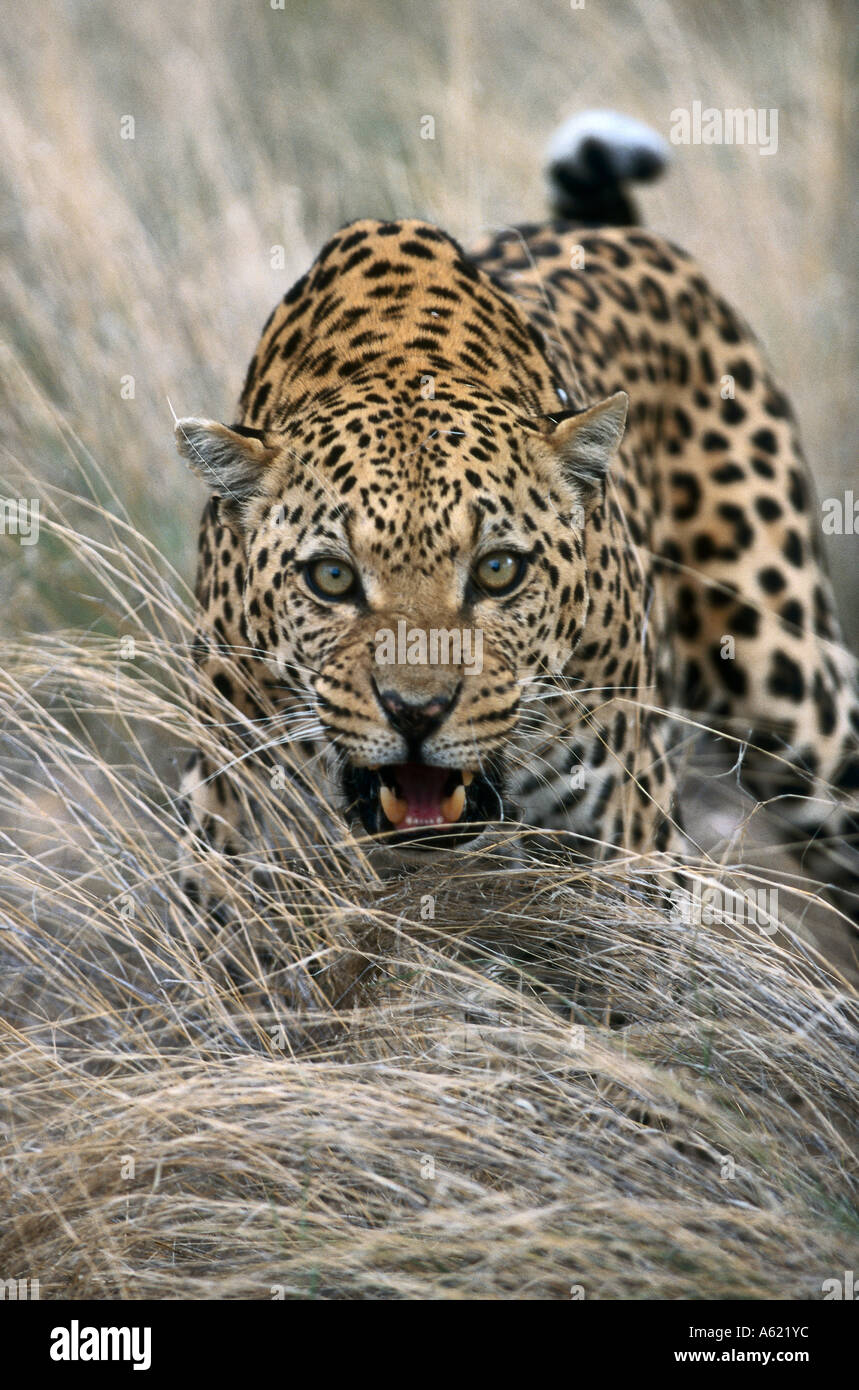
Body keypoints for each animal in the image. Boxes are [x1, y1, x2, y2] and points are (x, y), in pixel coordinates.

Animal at [175, 109, 859, 928]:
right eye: (331, 578)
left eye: (498, 571)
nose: (415, 713)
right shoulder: (226, 839)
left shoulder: (628, 852)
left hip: (792, 697)